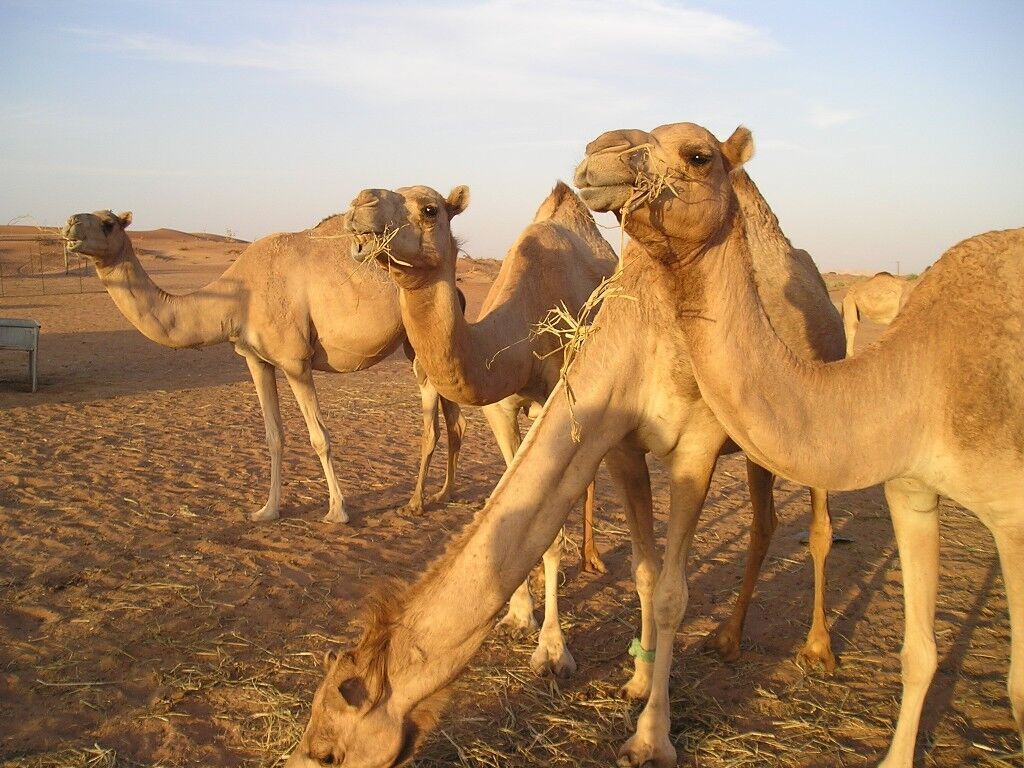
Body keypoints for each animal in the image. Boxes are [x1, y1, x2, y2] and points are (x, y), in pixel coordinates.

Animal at [62, 208, 464, 524]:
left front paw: (337, 512)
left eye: (109, 223)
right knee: (454, 420)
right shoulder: (257, 360)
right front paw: (267, 511)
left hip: (419, 344)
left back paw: (416, 503)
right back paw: (444, 494)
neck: (238, 298)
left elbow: (319, 437)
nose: (69, 224)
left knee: (432, 421)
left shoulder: (295, 360)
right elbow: (274, 437)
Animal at [342, 183, 614, 675]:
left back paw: (594, 558)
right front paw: (518, 615)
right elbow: (509, 507)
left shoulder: (560, 399)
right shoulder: (501, 412)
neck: (518, 335)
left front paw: (553, 650)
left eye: (431, 209)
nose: (361, 204)